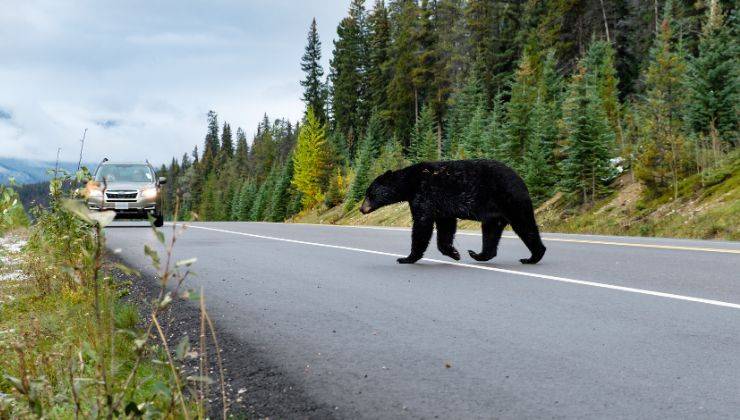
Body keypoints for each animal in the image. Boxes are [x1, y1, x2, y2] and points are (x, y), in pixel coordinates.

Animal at [362, 159, 548, 264]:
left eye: (369, 194)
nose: (361, 208)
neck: (410, 183)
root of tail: (522, 181)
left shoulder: (424, 194)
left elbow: (422, 224)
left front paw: (407, 258)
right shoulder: (441, 206)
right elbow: (446, 226)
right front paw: (454, 253)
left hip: (510, 200)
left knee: (525, 225)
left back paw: (532, 257)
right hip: (494, 214)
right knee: (491, 233)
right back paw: (478, 254)